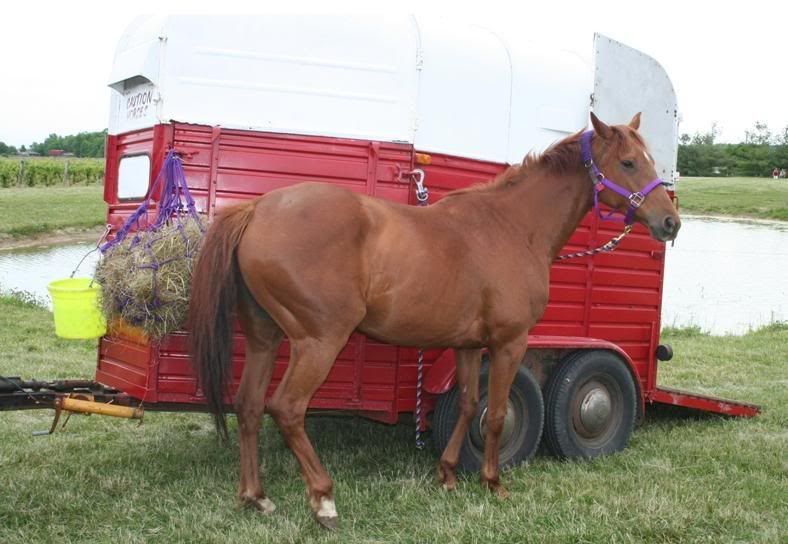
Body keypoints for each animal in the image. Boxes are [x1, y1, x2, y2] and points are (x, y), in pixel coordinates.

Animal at [188, 112, 681, 529]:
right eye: (629, 162)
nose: (671, 222)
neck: (512, 227)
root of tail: (257, 210)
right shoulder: (510, 343)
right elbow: (496, 414)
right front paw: (492, 482)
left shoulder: (467, 344)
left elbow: (468, 404)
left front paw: (447, 473)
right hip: (318, 341)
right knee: (287, 408)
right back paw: (323, 498)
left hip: (264, 338)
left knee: (249, 406)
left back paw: (255, 496)